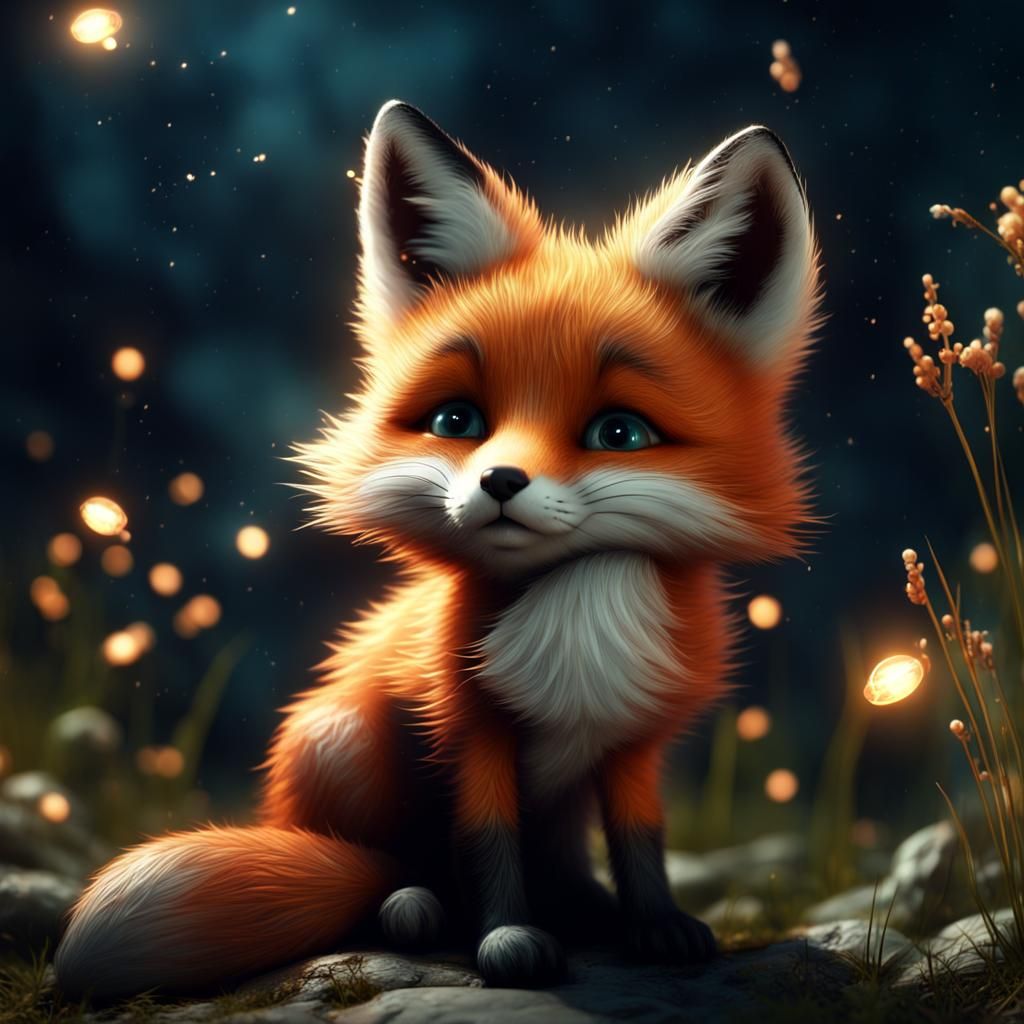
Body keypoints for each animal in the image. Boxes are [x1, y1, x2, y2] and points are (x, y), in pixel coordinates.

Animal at [55, 100, 821, 997]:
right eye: (458, 420)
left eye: (619, 433)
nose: (500, 482)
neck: (577, 632)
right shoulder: (464, 726)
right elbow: (487, 844)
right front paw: (508, 941)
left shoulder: (635, 740)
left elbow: (640, 840)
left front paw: (655, 926)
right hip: (340, 741)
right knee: (388, 872)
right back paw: (418, 909)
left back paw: (580, 908)